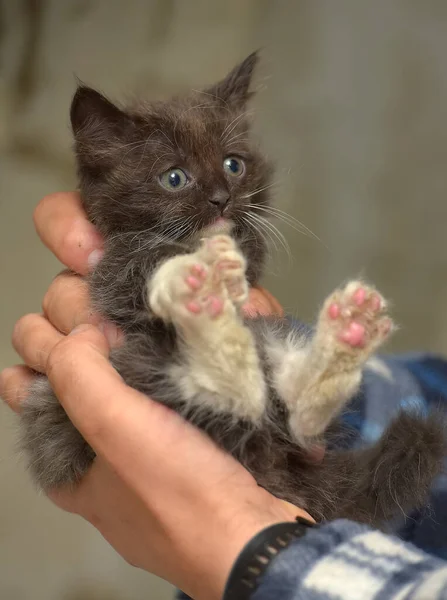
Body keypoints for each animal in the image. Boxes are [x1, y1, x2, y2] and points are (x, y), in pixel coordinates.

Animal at [20, 54, 444, 528]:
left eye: (233, 165)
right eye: (174, 177)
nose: (221, 199)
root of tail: (281, 468)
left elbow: (248, 254)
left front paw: (223, 263)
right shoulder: (114, 268)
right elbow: (136, 275)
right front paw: (193, 272)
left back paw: (345, 333)